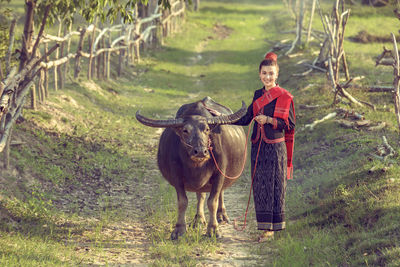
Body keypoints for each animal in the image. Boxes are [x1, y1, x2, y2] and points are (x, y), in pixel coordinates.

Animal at [136, 97, 245, 240]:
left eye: (207, 129)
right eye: (185, 131)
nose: (200, 151)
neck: (197, 165)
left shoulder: (220, 174)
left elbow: (212, 202)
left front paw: (213, 230)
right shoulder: (176, 176)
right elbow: (183, 202)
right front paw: (179, 230)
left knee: (219, 193)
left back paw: (222, 215)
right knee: (201, 195)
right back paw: (198, 220)